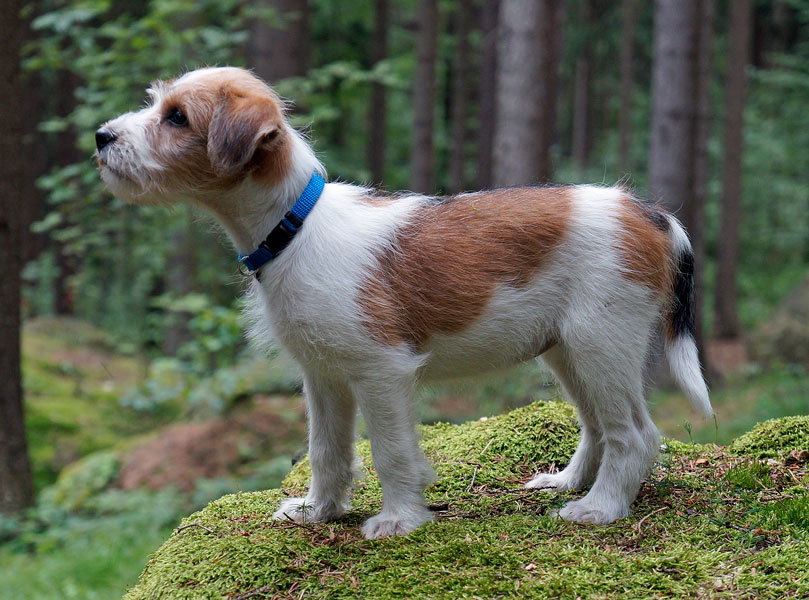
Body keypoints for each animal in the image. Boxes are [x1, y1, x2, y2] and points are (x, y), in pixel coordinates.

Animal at [96, 67, 711, 539]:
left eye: (177, 117)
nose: (101, 136)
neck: (296, 226)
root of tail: (647, 211)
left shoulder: (380, 371)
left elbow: (390, 451)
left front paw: (398, 521)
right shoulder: (323, 377)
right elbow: (327, 451)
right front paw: (319, 511)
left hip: (601, 344)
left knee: (634, 434)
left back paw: (600, 508)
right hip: (567, 351)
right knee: (596, 427)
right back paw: (567, 483)